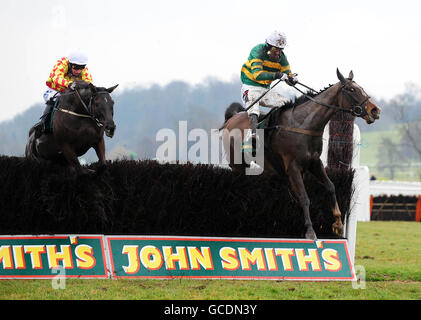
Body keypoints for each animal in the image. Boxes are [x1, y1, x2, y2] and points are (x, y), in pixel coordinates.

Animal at [220, 70, 380, 240]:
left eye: (361, 88)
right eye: (351, 89)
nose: (375, 110)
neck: (304, 125)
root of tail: (232, 118)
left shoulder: (314, 162)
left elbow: (330, 186)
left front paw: (337, 224)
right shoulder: (293, 167)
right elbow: (304, 197)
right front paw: (310, 231)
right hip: (238, 163)